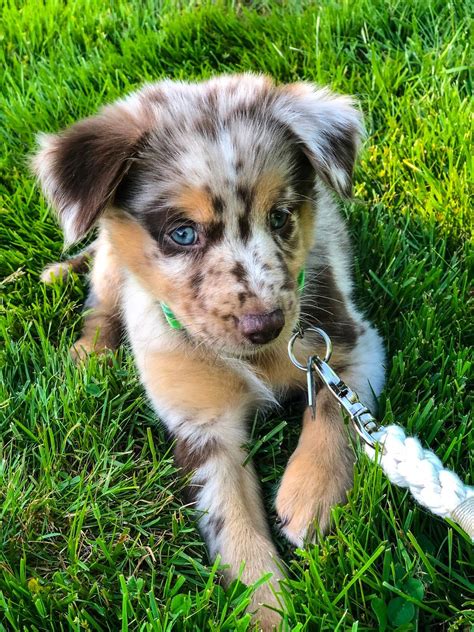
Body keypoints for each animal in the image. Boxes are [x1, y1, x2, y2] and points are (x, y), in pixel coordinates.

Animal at [33, 74, 386, 628]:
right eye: (182, 233)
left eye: (281, 217)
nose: (268, 325)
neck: (251, 360)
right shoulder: (200, 424)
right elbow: (233, 524)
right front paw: (269, 610)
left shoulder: (349, 343)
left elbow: (335, 408)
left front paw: (310, 494)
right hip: (111, 266)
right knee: (100, 298)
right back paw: (89, 354)